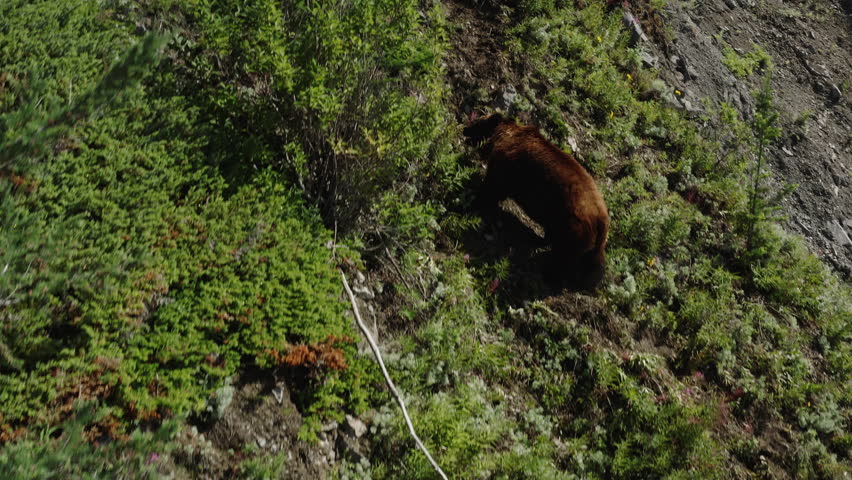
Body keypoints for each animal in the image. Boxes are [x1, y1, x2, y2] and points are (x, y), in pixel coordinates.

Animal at [464, 113, 610, 290]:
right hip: (583, 235)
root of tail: (602, 219)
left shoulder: (506, 167)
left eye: (478, 123)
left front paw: (472, 204)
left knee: (563, 255)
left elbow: (491, 189)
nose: (464, 129)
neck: (503, 137)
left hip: (572, 225)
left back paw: (551, 275)